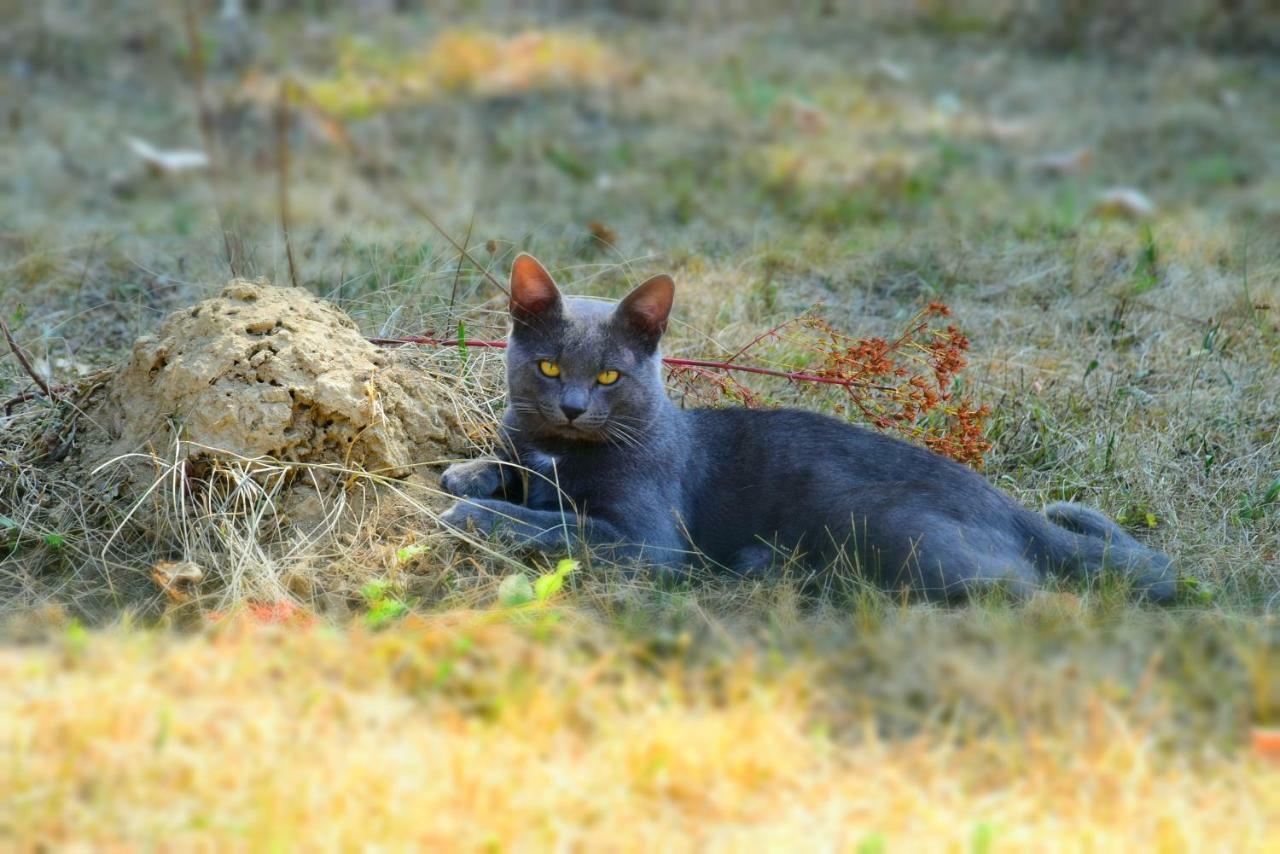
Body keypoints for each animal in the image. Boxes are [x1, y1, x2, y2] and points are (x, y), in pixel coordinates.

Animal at [442, 253, 1177, 601]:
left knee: (1024, 592)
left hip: (883, 523)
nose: (571, 407)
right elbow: (510, 463)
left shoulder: (647, 541)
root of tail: (1009, 506)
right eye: (548, 366)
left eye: (608, 378)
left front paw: (472, 514)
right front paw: (468, 473)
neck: (561, 451)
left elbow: (558, 524)